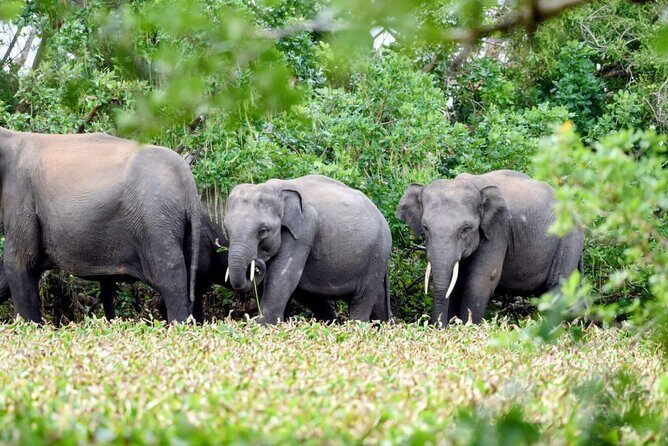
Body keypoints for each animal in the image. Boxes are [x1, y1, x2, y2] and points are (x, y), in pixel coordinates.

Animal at [223, 174, 392, 324]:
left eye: (263, 230)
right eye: (226, 229)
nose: (256, 262)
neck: (276, 190)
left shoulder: (304, 230)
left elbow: (282, 276)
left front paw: (264, 325)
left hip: (377, 254)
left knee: (362, 298)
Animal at [396, 169, 584, 325]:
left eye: (465, 228)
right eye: (425, 227)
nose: (437, 327)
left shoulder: (499, 232)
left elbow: (481, 279)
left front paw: (467, 327)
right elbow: (456, 283)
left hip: (568, 240)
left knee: (558, 286)